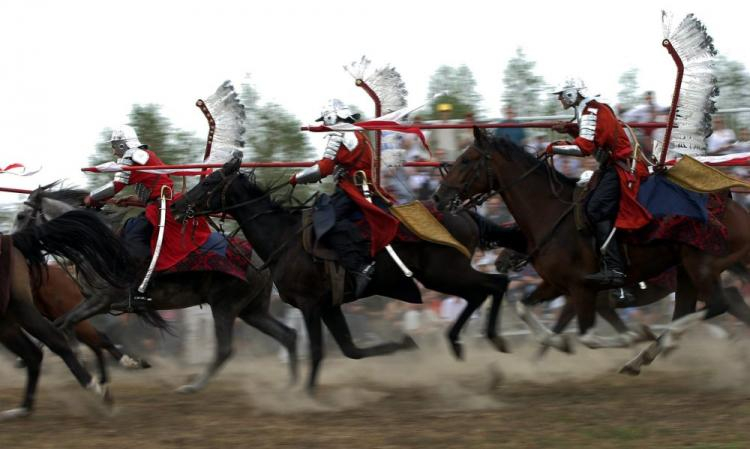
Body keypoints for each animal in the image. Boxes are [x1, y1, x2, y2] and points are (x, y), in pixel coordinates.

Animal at [14, 186, 296, 392]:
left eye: (20, 216)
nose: (14, 243)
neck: (97, 245)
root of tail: (261, 262)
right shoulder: (93, 302)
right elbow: (59, 323)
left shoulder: (102, 300)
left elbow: (67, 323)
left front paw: (90, 362)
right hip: (251, 310)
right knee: (287, 334)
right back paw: (293, 387)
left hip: (225, 307)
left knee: (225, 349)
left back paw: (193, 386)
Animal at [170, 159, 512, 390]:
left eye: (210, 182)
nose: (176, 207)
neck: (285, 237)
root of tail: (464, 213)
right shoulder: (329, 306)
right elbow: (351, 350)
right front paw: (404, 344)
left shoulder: (310, 305)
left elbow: (318, 351)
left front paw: (306, 395)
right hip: (445, 276)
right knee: (485, 290)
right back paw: (464, 344)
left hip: (445, 274)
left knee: (495, 285)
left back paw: (488, 340)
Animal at [434, 128, 750, 372]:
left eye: (467, 160)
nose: (439, 196)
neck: (552, 215)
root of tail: (737, 209)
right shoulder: (558, 285)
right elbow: (527, 309)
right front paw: (555, 346)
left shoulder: (582, 290)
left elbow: (589, 336)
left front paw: (632, 336)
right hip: (686, 270)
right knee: (695, 308)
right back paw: (643, 358)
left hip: (702, 267)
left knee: (718, 305)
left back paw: (659, 345)